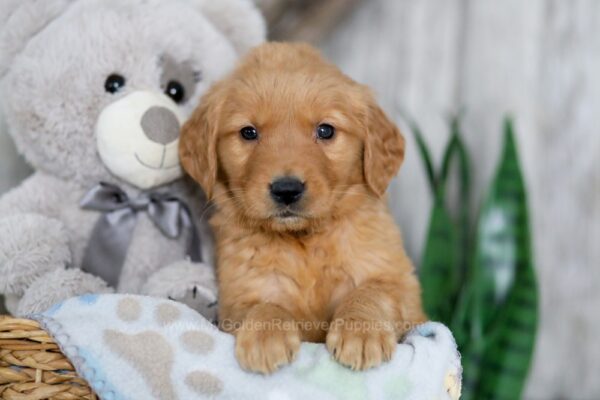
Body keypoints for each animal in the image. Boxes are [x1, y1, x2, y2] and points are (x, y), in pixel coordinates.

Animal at [179, 42, 426, 374]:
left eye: (325, 131)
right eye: (248, 132)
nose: (286, 190)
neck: (304, 241)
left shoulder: (401, 285)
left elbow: (372, 291)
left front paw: (361, 332)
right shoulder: (238, 296)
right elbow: (262, 304)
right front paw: (266, 335)